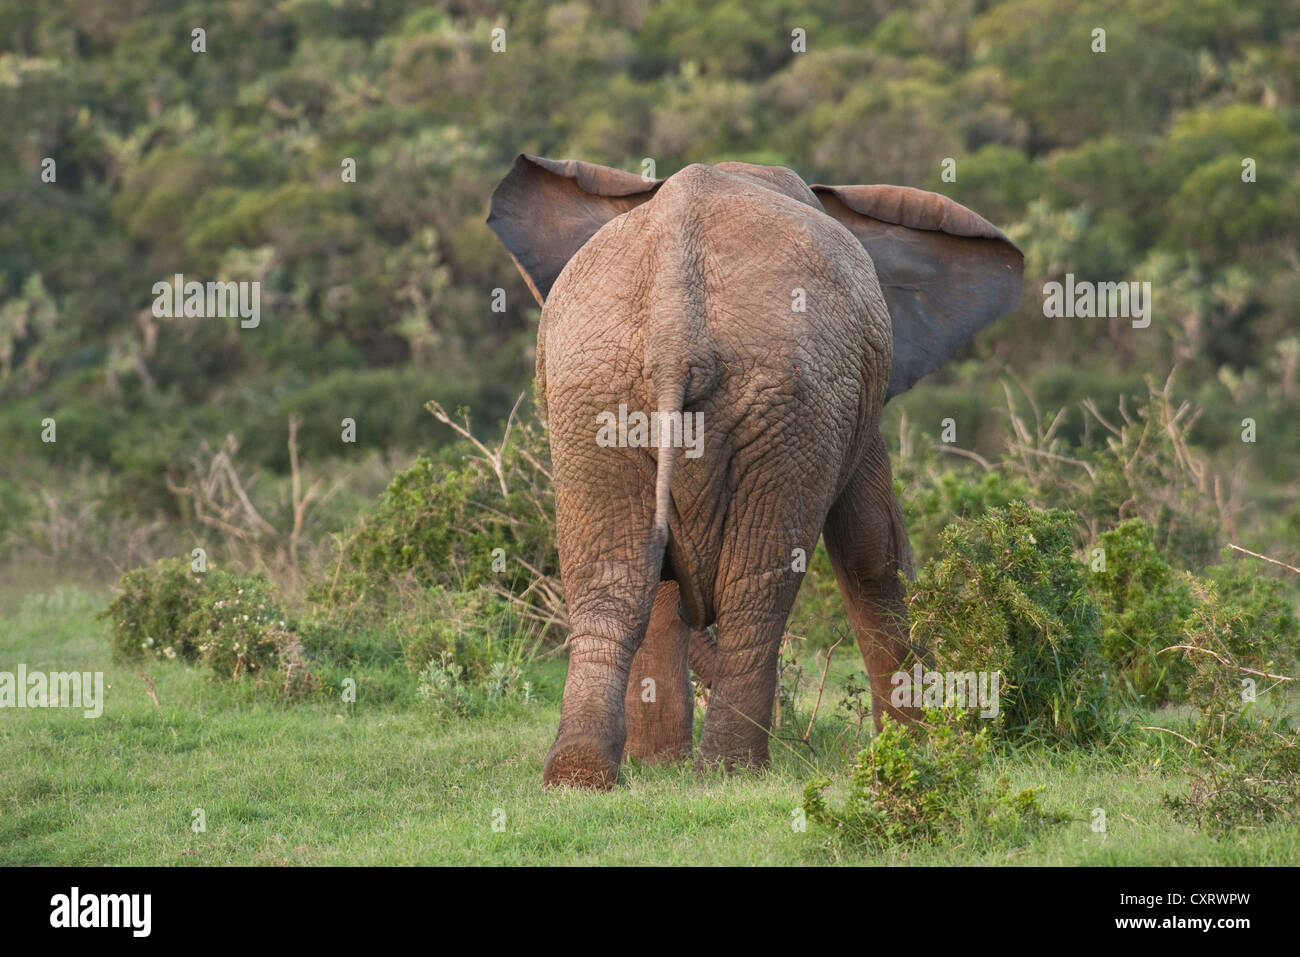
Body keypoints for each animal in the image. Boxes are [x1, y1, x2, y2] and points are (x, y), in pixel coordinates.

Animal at [488, 155, 1024, 785]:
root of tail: (675, 328)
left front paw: (658, 765)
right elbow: (872, 544)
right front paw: (922, 747)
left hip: (606, 395)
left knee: (620, 578)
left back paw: (585, 778)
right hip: (785, 401)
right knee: (757, 584)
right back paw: (730, 774)